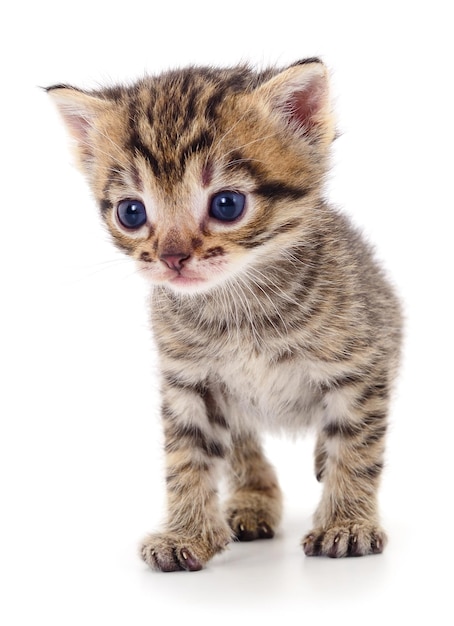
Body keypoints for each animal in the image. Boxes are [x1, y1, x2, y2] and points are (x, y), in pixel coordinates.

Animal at [47, 59, 400, 572]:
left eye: (227, 204)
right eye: (131, 212)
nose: (172, 258)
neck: (237, 307)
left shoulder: (360, 366)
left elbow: (355, 447)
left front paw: (346, 523)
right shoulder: (189, 380)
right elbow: (187, 457)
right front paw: (187, 532)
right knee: (242, 445)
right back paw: (253, 500)